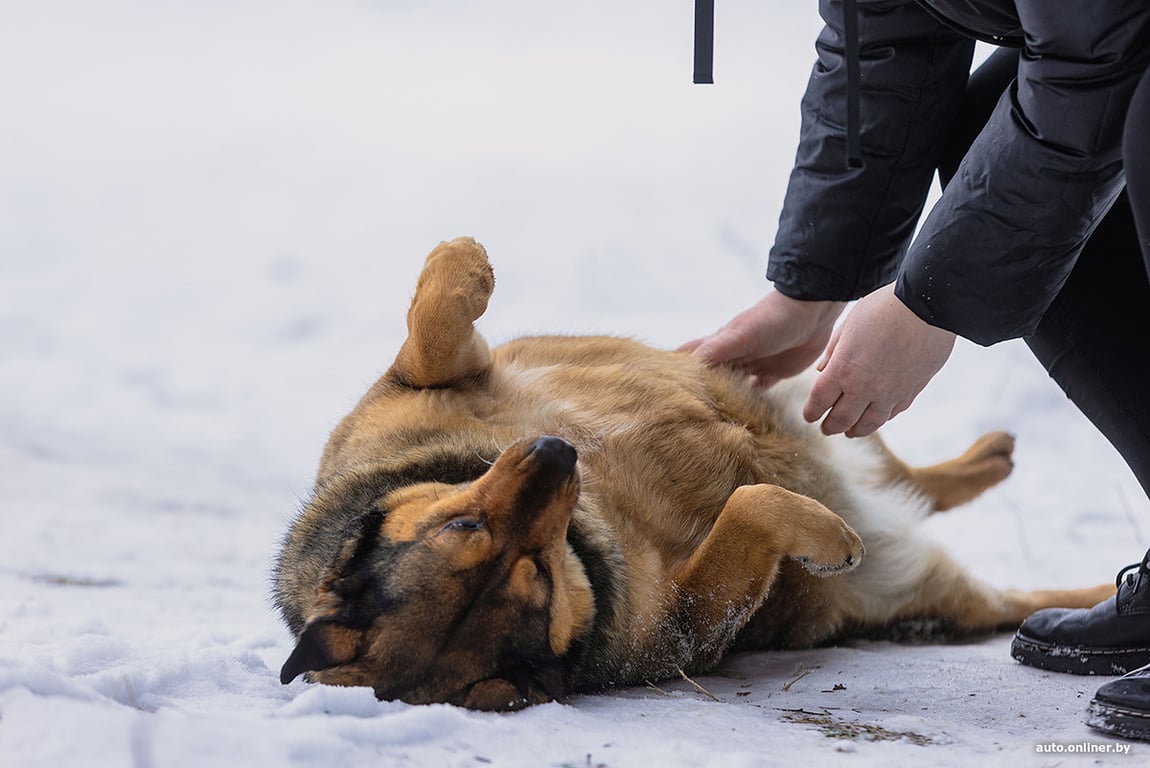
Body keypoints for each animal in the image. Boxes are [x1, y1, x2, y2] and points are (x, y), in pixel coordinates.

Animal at [271, 236, 1113, 712]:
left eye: (464, 521)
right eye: (535, 579)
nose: (555, 454)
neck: (590, 536)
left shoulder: (425, 380)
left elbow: (437, 310)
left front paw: (466, 257)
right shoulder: (694, 613)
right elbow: (750, 507)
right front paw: (822, 536)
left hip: (790, 401)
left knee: (907, 470)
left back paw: (989, 456)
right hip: (928, 580)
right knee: (1001, 584)